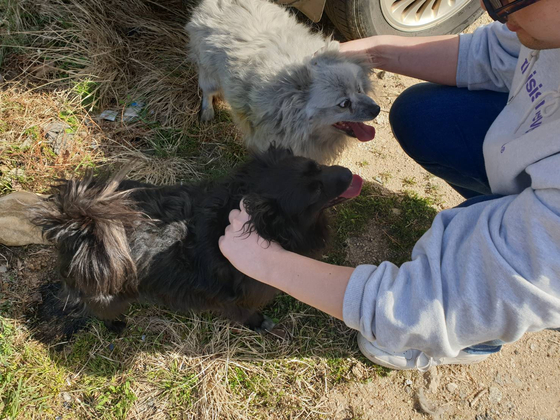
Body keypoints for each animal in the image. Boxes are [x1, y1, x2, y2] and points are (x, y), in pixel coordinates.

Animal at [31, 146, 364, 340]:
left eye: (317, 166)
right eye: (315, 190)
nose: (349, 173)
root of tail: (79, 228)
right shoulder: (239, 302)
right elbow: (248, 314)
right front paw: (260, 324)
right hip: (110, 294)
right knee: (98, 310)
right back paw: (116, 326)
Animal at [187, 0, 380, 162]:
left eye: (359, 89)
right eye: (344, 103)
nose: (377, 109)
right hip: (209, 74)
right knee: (207, 90)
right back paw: (207, 111)